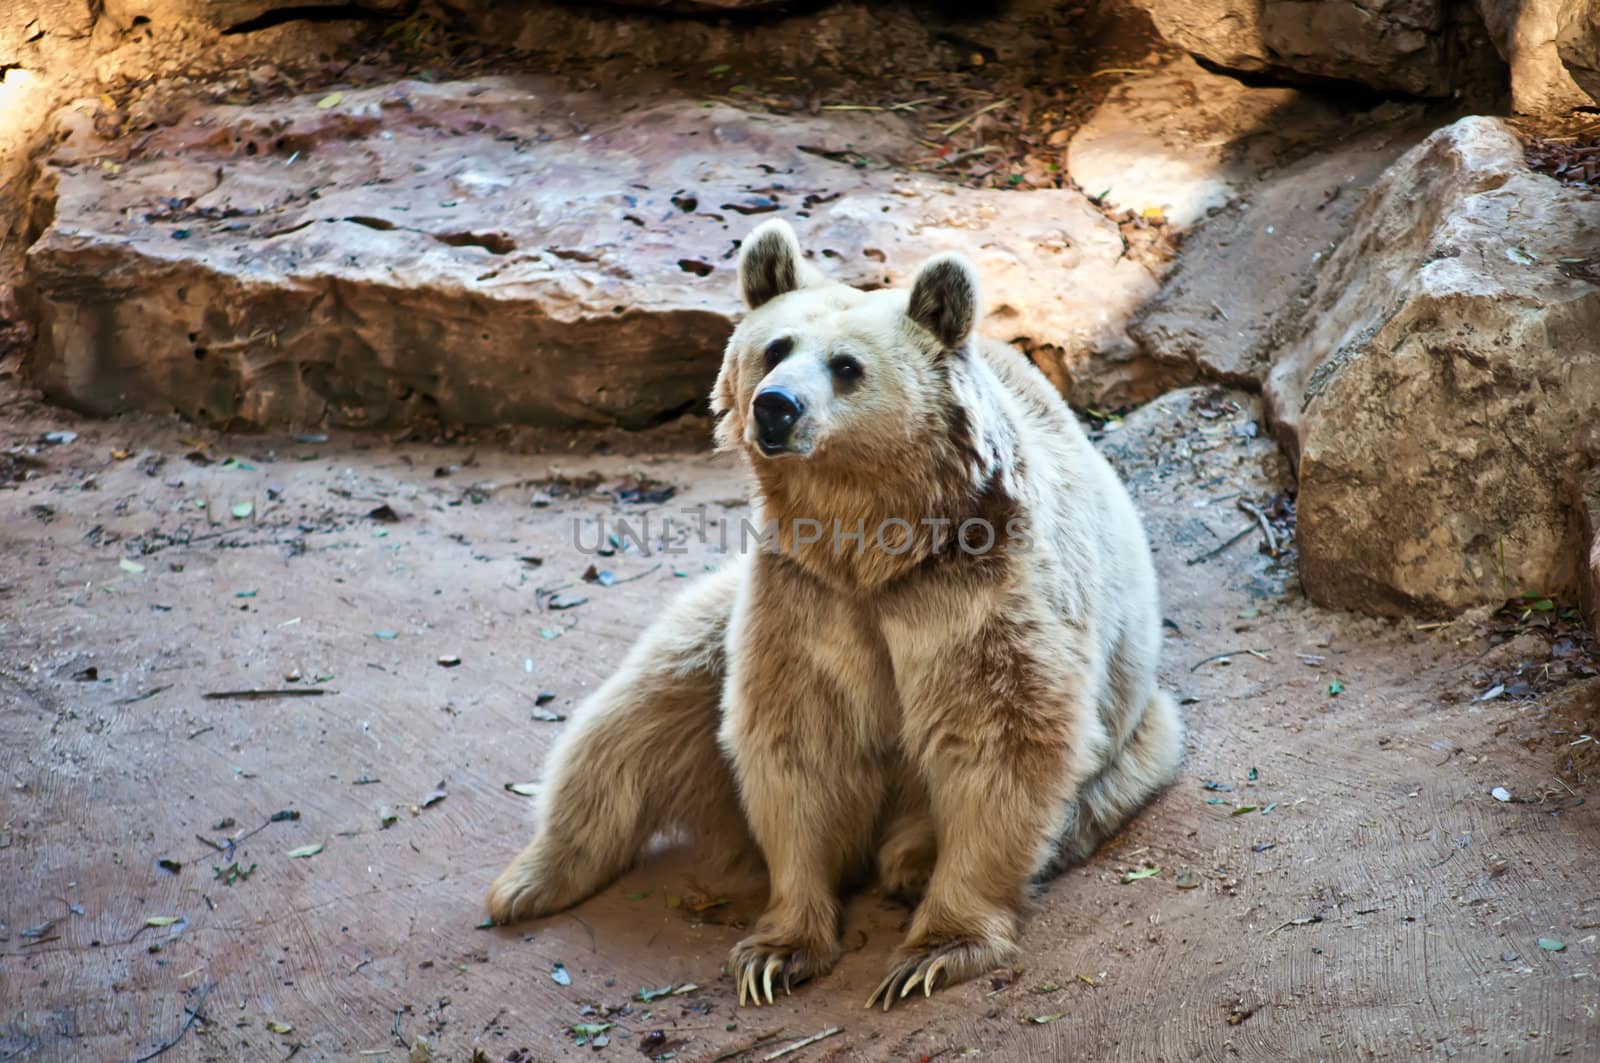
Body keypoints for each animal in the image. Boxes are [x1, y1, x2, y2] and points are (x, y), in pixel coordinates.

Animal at [483, 217, 1177, 1011]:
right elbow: (799, 744)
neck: (874, 544)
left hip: (1135, 745)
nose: (775, 405)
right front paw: (777, 949)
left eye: (847, 366)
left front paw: (935, 950)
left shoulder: (982, 591)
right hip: (713, 631)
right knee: (633, 718)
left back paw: (913, 860)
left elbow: (999, 739)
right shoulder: (805, 596)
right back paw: (529, 881)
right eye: (774, 348)